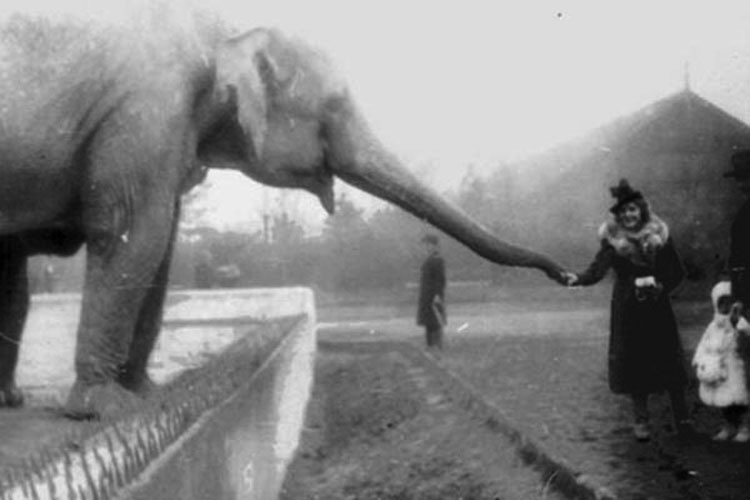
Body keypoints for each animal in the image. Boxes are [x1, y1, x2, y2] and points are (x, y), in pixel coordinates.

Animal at [0, 8, 568, 418]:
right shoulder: (146, 110)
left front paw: (151, 394)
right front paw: (107, 410)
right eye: (335, 105)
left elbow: (159, 245)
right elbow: (130, 230)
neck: (217, 25)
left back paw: (11, 401)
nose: (569, 274)